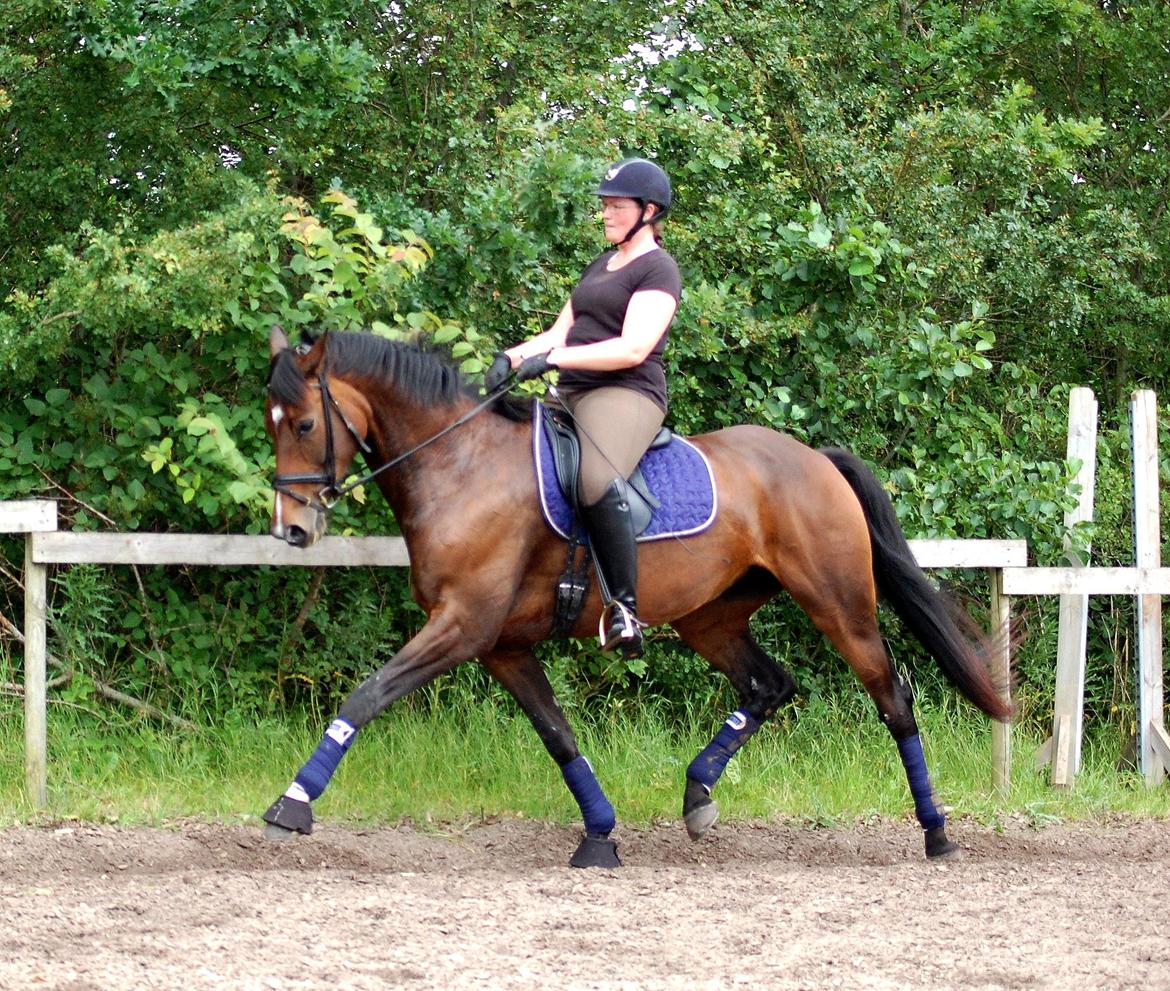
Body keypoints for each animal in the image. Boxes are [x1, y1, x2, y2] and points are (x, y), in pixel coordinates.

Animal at [260, 327, 1010, 870]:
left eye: (303, 425)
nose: (290, 530)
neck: (462, 465)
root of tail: (815, 458)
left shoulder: (462, 626)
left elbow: (367, 693)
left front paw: (291, 803)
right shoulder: (501, 644)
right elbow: (558, 735)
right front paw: (599, 836)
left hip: (838, 602)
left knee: (892, 696)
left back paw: (936, 832)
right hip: (712, 616)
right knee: (769, 684)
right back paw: (698, 794)